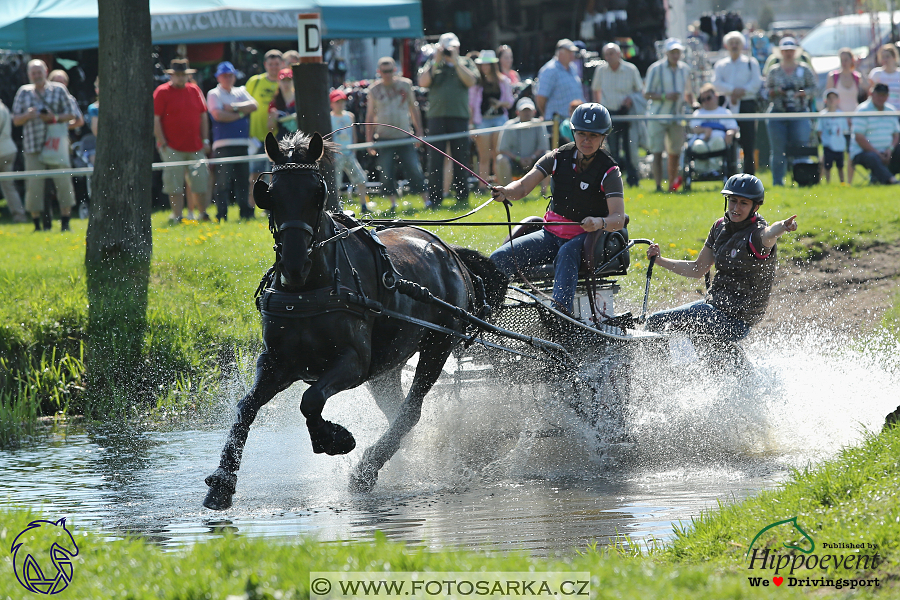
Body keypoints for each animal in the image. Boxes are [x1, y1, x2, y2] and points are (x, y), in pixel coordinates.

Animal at [203, 132, 506, 510]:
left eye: (317, 193)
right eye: (270, 194)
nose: (293, 264)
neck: (309, 287)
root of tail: (449, 252)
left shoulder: (353, 363)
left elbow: (311, 400)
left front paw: (334, 438)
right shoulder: (277, 362)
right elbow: (246, 407)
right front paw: (222, 481)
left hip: (437, 345)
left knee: (410, 411)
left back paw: (367, 469)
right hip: (388, 364)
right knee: (396, 411)